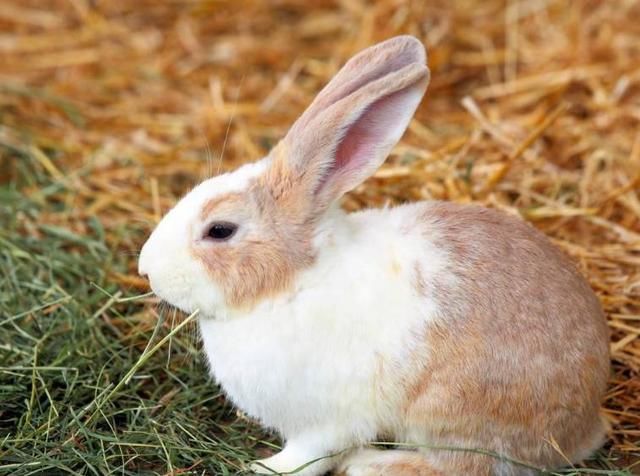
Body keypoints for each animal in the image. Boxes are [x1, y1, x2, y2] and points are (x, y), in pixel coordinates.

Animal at [139, 34, 608, 476]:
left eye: (220, 230)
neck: (294, 283)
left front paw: (264, 468)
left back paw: (371, 463)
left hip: (451, 412)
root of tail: (585, 425)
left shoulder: (324, 422)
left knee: (465, 465)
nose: (145, 269)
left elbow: (309, 456)